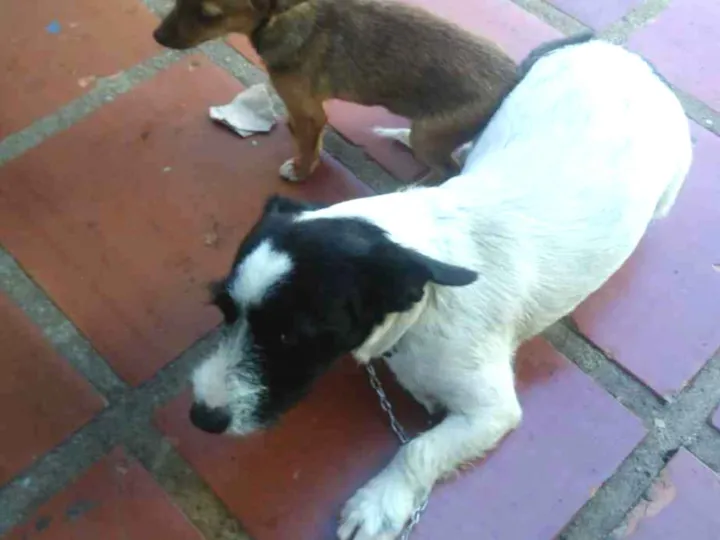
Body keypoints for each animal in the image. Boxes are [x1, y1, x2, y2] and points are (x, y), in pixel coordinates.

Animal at [152, 0, 517, 182]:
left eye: (208, 15)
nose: (157, 37)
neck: (281, 19)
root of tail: (515, 76)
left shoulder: (311, 110)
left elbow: (308, 145)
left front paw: (301, 171)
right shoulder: (307, 108)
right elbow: (306, 135)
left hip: (428, 136)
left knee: (449, 171)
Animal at [188, 36, 691, 539]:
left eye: (292, 336)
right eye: (223, 310)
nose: (201, 417)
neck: (427, 301)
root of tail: (609, 47)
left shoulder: (491, 410)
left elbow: (418, 448)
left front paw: (380, 501)